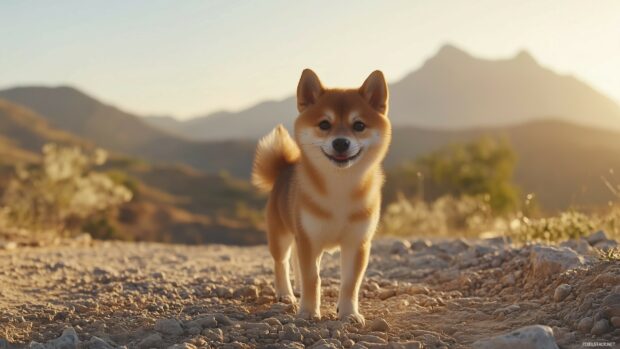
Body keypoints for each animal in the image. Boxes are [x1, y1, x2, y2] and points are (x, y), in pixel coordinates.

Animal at [249, 68, 390, 324]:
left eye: (359, 125)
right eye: (324, 124)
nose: (341, 142)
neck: (340, 188)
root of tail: (284, 168)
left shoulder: (357, 243)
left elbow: (350, 283)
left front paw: (348, 313)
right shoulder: (309, 240)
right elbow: (312, 279)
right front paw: (307, 312)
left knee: (295, 261)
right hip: (280, 235)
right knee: (281, 263)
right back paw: (286, 293)